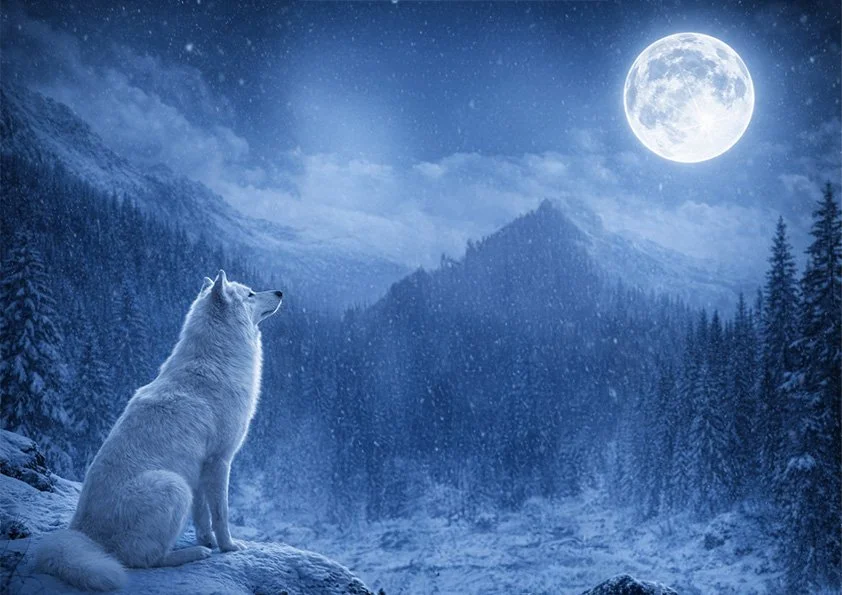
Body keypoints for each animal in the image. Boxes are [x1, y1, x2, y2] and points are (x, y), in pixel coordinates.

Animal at [35, 270, 283, 591]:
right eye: (251, 294)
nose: (280, 292)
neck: (215, 361)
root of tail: (84, 533)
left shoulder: (199, 469)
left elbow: (202, 517)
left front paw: (208, 540)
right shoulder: (219, 461)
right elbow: (221, 514)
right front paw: (227, 546)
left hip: (183, 484)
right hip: (174, 486)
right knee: (145, 560)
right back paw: (192, 554)